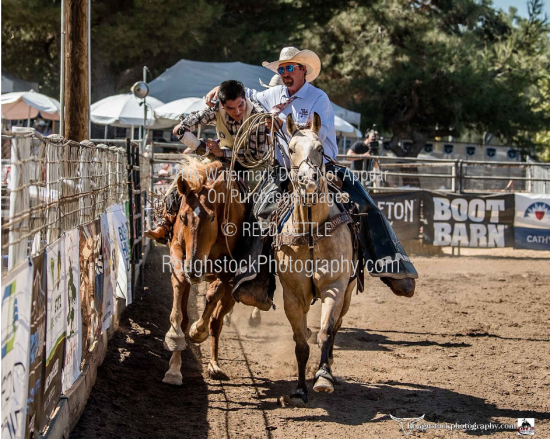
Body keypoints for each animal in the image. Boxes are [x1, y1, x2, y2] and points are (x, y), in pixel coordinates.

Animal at [164, 156, 248, 384]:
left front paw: (197, 332)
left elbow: (212, 297)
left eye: (211, 218)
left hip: (230, 294)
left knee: (216, 322)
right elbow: (179, 283)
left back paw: (214, 365)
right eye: (182, 217)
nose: (194, 268)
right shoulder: (177, 250)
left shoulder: (230, 268)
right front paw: (174, 340)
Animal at [276, 112, 358, 406]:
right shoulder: (292, 295)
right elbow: (301, 343)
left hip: (348, 292)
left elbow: (325, 333)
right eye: (290, 149)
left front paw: (323, 377)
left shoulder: (334, 287)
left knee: (336, 328)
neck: (311, 233)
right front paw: (300, 390)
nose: (308, 179)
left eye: (320, 149)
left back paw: (328, 366)